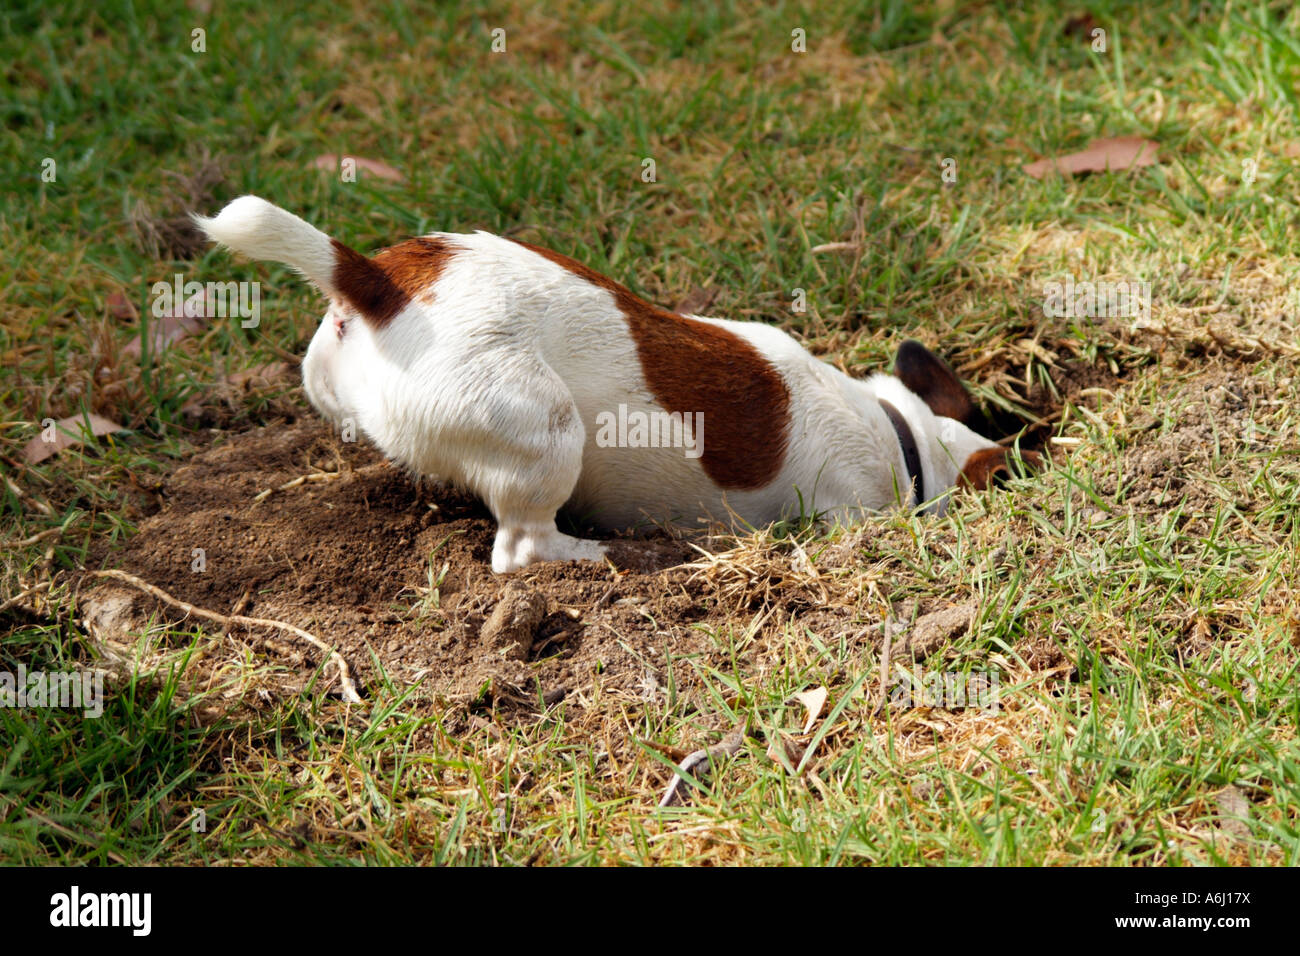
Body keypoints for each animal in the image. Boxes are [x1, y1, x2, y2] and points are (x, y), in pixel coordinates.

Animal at [195, 193, 1024, 567]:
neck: (900, 433)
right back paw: (598, 558)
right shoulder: (848, 512)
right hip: (545, 432)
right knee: (523, 548)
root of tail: (378, 281)